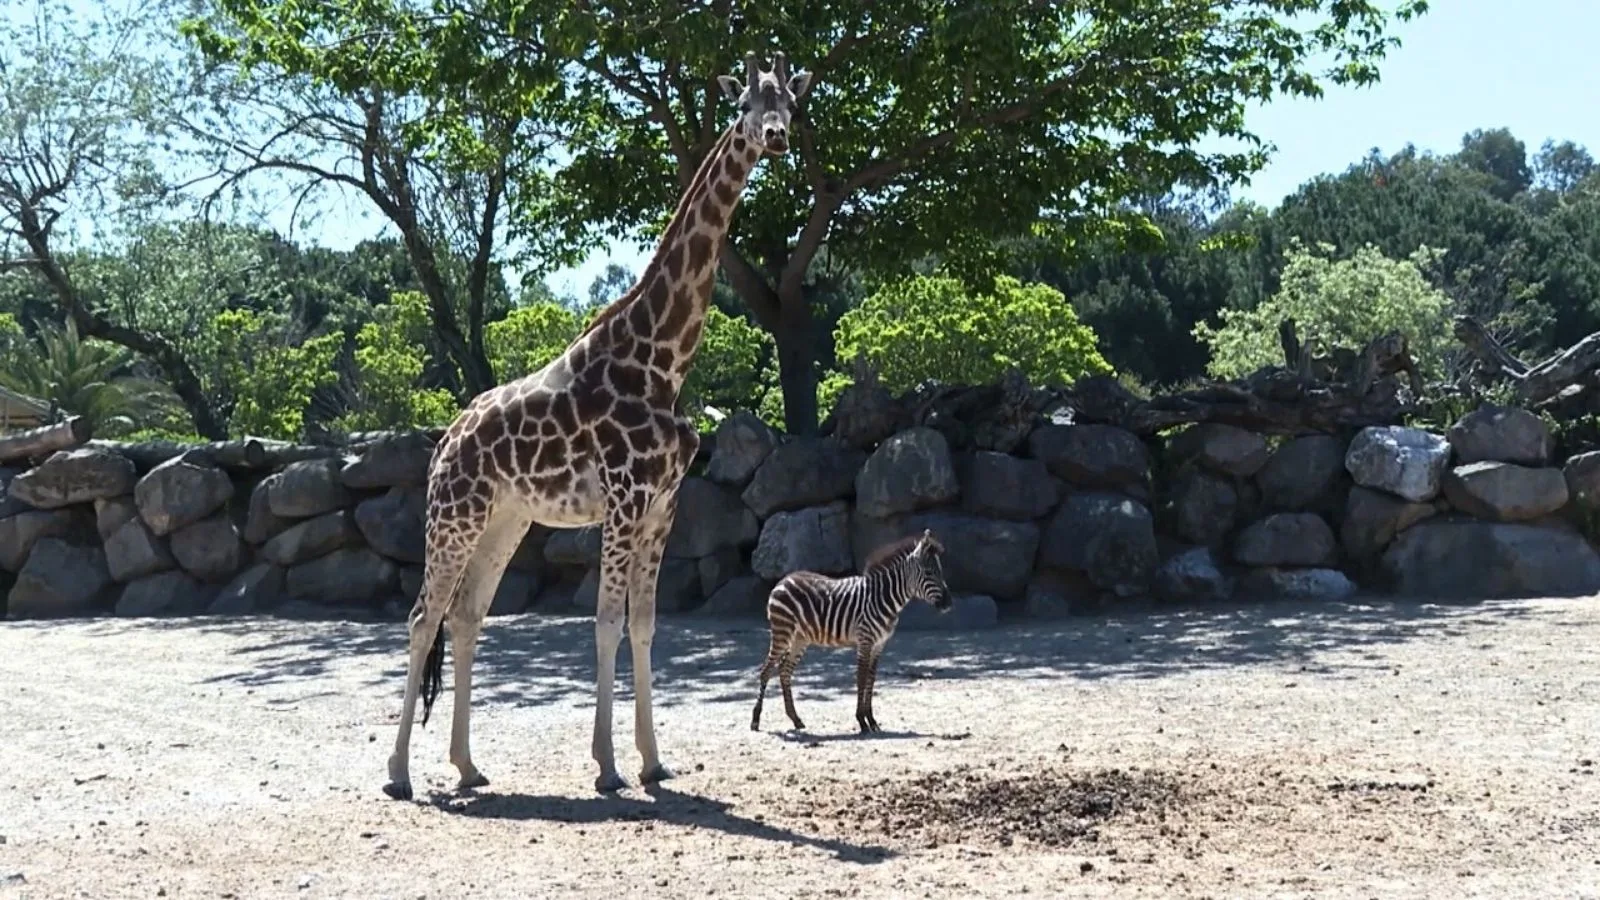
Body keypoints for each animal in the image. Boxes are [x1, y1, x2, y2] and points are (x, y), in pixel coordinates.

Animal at [750, 529, 951, 734]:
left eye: (940, 571)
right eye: (929, 572)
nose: (948, 603)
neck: (883, 598)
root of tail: (783, 580)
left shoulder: (879, 644)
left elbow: (871, 678)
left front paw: (872, 720)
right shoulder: (865, 639)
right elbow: (861, 677)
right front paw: (862, 721)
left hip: (800, 638)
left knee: (784, 671)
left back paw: (795, 719)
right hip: (782, 632)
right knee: (766, 670)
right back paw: (756, 720)